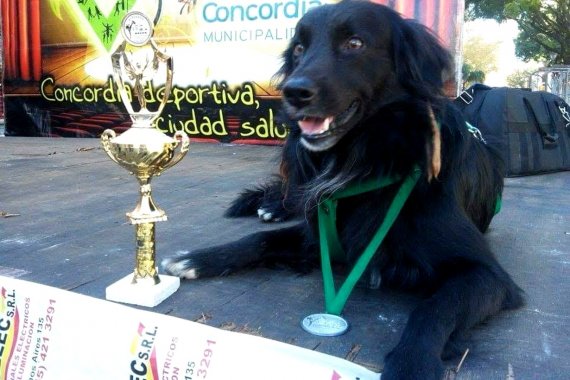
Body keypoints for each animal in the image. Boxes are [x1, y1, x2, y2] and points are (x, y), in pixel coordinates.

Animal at [163, 1, 520, 378]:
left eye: (355, 43)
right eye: (299, 49)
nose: (292, 92)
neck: (367, 161)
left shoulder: (486, 274)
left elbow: (435, 308)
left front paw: (411, 363)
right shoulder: (321, 234)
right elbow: (259, 240)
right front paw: (198, 258)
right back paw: (271, 206)